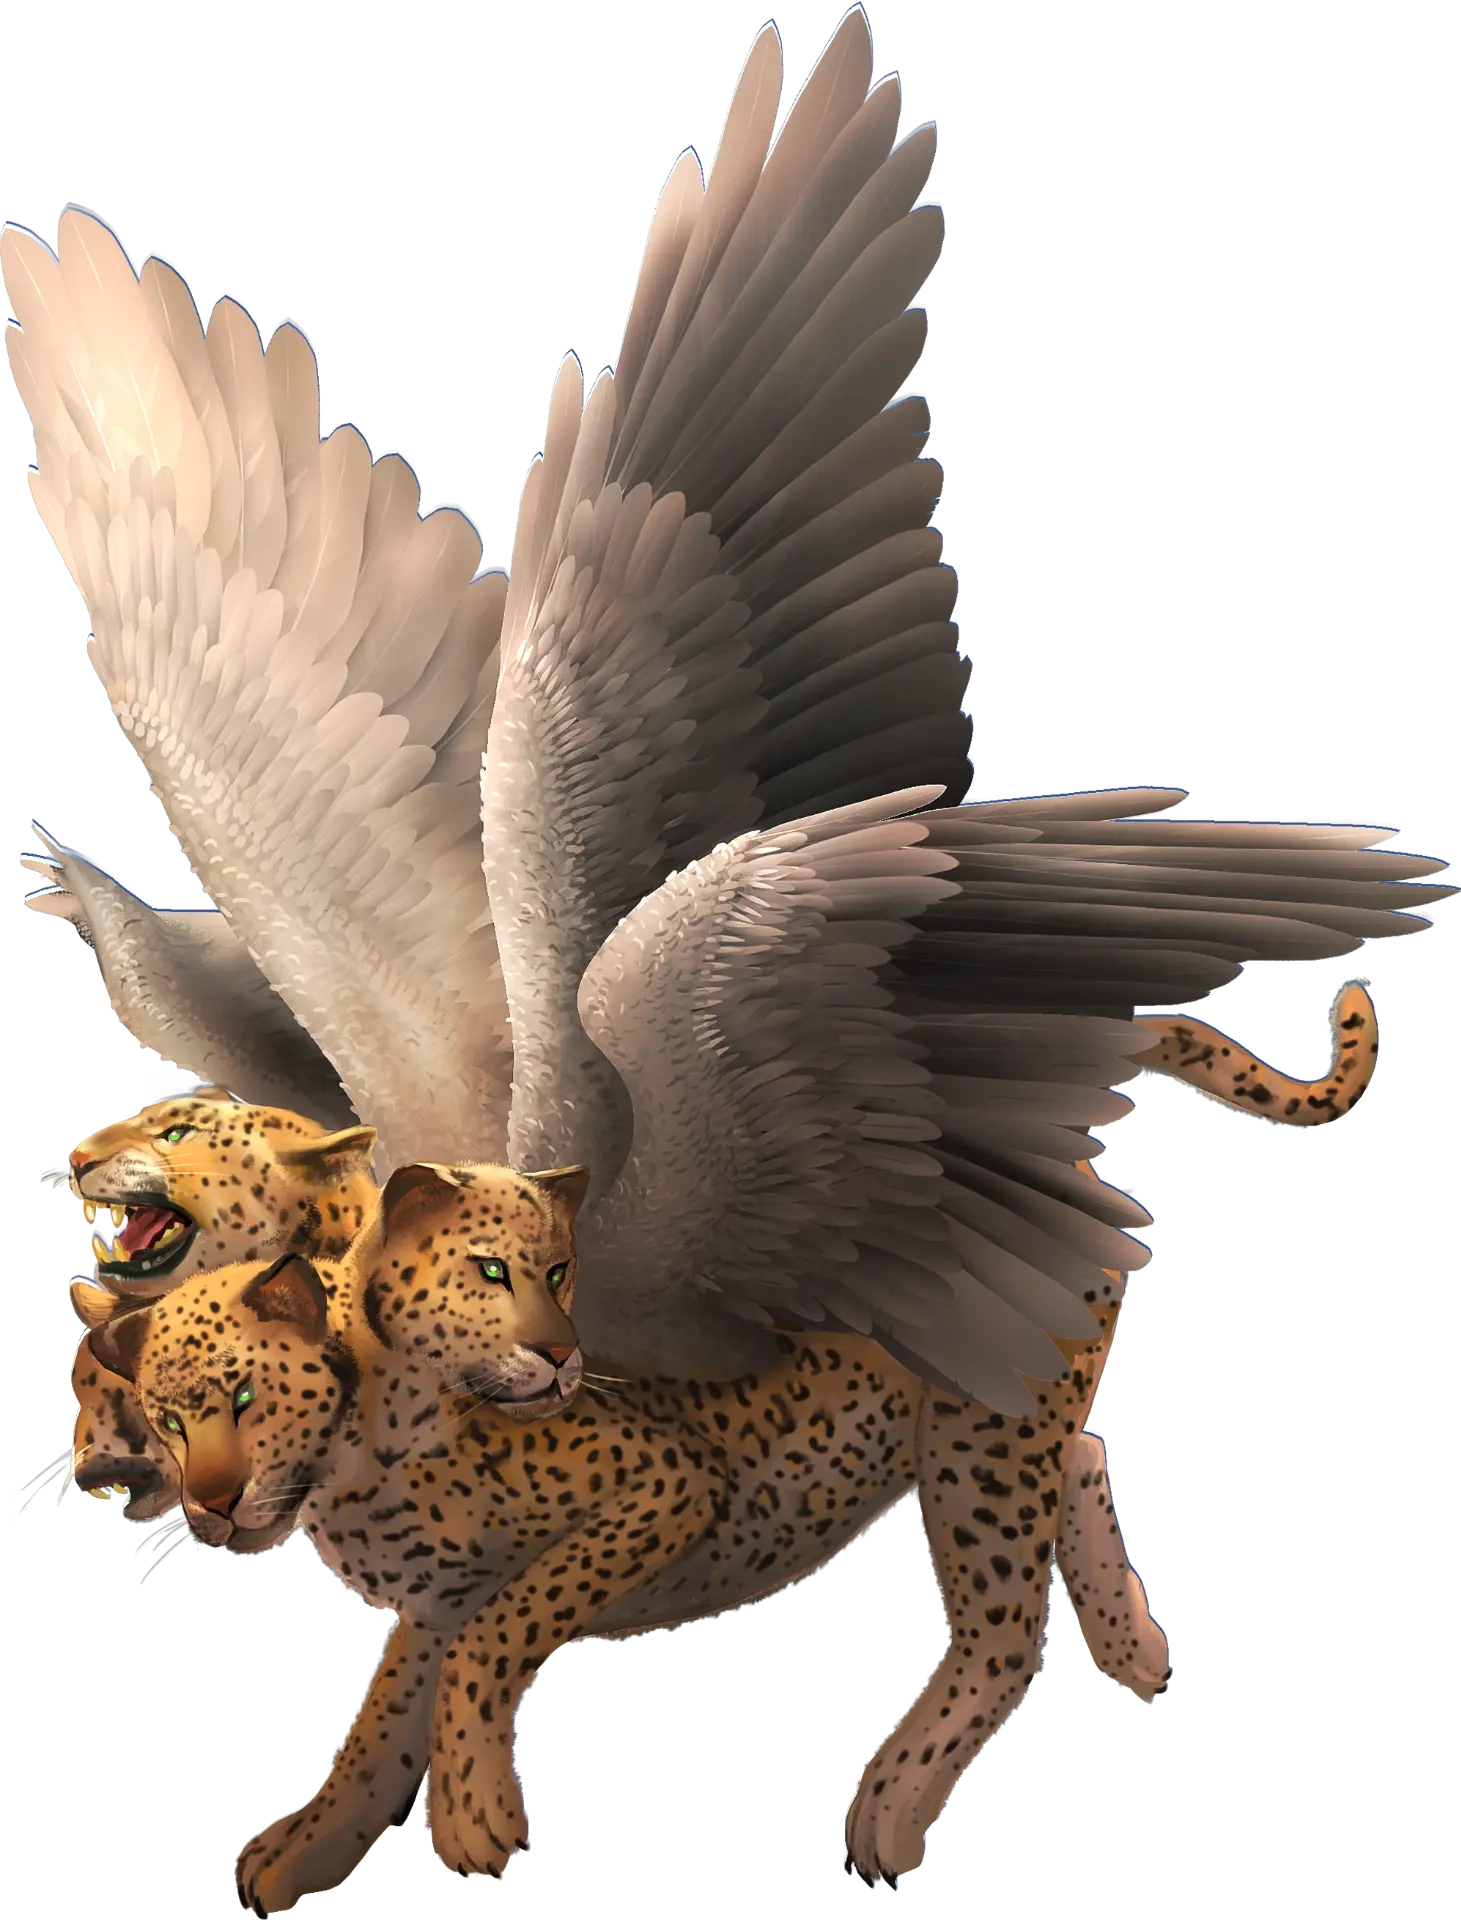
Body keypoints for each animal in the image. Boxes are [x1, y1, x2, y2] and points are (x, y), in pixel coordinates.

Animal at [92, 1156, 1169, 1911]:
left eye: (243, 1394)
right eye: (170, 1416)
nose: (213, 1502)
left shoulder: (661, 1489)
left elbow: (496, 1640)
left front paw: (477, 1820)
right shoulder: (439, 1596)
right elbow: (379, 1732)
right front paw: (309, 1847)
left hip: (976, 1442)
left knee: (1002, 1632)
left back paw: (891, 1811)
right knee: (1084, 1456)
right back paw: (1137, 1651)